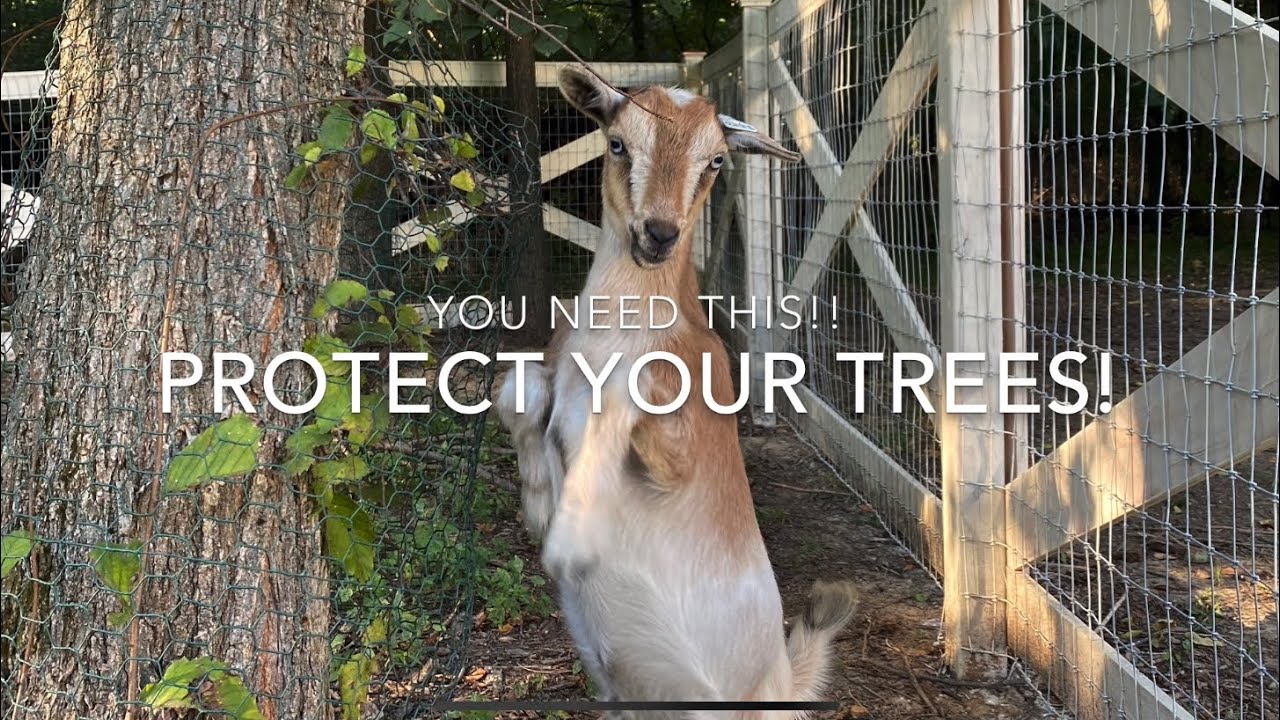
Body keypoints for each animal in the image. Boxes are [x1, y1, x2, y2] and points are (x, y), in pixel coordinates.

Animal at [494, 64, 859, 719]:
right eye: (617, 143)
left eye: (715, 161)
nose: (658, 234)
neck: (620, 330)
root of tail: (785, 684)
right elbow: (519, 385)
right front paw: (538, 500)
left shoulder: (684, 446)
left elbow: (625, 391)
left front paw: (571, 536)